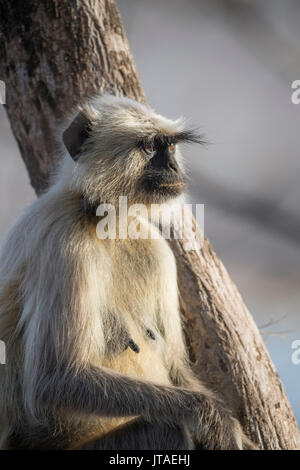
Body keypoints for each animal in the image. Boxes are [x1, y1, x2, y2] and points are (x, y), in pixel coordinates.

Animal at [0, 93, 255, 450]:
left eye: (170, 147)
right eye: (148, 147)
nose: (173, 167)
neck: (104, 221)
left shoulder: (156, 249)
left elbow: (175, 364)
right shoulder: (62, 239)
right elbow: (55, 379)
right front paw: (212, 416)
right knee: (168, 430)